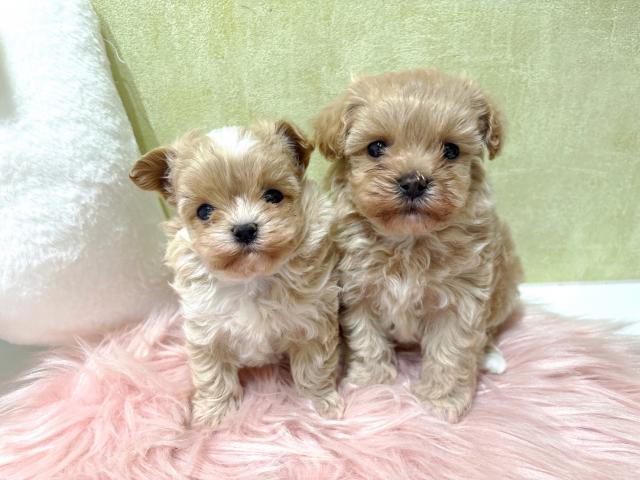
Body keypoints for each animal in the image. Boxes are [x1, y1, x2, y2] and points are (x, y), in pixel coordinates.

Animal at [130, 120, 343, 426]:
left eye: (273, 196)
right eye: (204, 211)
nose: (244, 229)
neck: (250, 278)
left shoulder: (312, 321)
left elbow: (313, 368)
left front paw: (321, 403)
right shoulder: (204, 331)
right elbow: (213, 375)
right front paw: (213, 416)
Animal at [313, 69, 523, 422]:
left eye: (451, 151)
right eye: (376, 148)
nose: (414, 182)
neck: (408, 240)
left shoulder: (461, 300)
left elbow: (452, 352)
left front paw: (442, 401)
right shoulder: (358, 291)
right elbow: (366, 338)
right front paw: (370, 381)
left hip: (505, 288)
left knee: (489, 329)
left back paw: (490, 355)